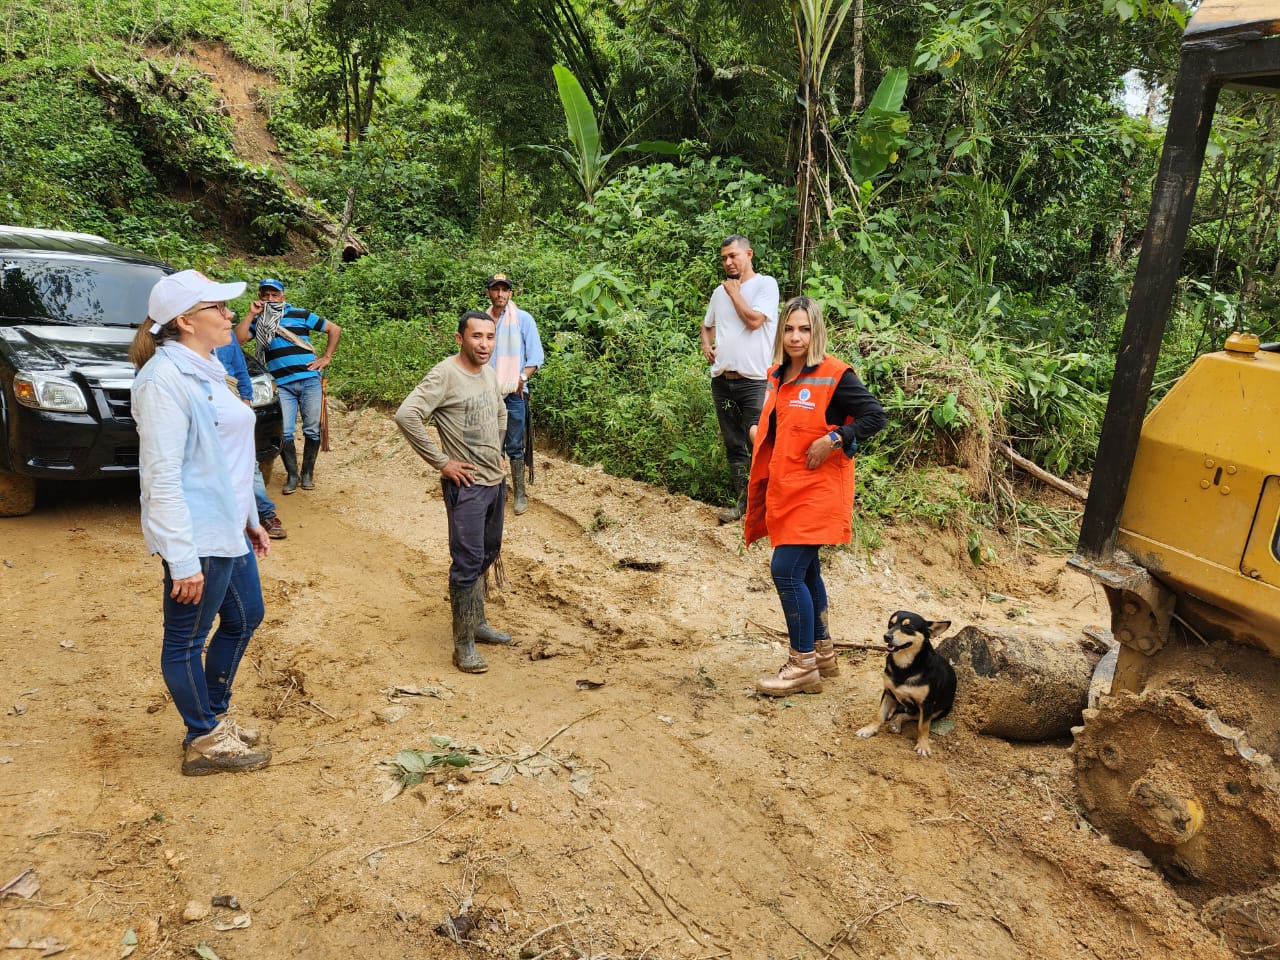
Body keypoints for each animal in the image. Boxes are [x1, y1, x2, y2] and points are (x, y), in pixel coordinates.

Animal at [855, 609, 957, 757]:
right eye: (890, 624)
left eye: (908, 627)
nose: (887, 636)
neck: (904, 665)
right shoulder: (888, 692)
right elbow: (879, 715)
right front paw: (869, 729)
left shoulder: (927, 704)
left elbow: (923, 726)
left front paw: (923, 745)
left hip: (939, 711)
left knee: (908, 715)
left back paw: (896, 723)